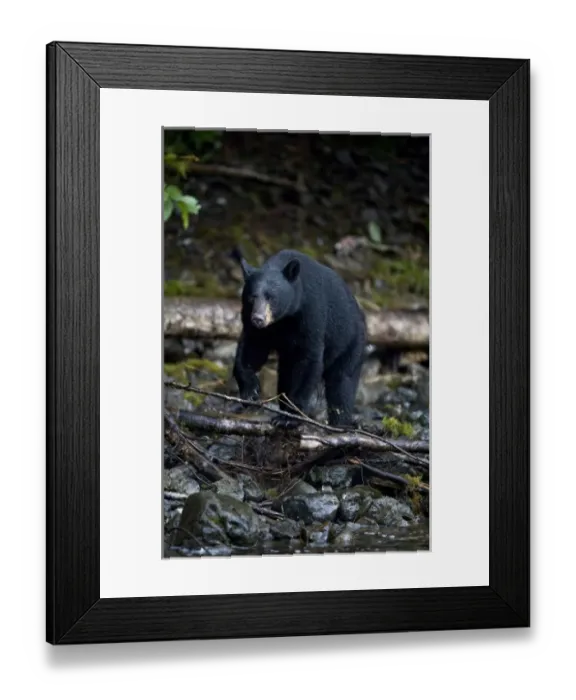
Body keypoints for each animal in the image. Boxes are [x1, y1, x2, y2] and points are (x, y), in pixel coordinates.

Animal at [231, 247, 366, 428]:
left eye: (271, 297)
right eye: (252, 297)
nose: (258, 318)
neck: (284, 319)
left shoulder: (311, 315)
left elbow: (308, 360)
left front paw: (290, 417)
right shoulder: (257, 326)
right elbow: (251, 349)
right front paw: (250, 391)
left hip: (350, 342)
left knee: (342, 384)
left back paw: (339, 423)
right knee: (285, 378)